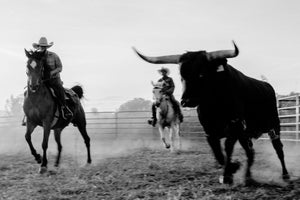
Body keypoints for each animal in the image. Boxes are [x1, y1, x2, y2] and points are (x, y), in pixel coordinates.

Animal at [132, 41, 290, 184]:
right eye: (182, 75)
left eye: (201, 74)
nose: (186, 101)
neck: (214, 103)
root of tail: (268, 86)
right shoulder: (209, 132)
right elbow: (218, 153)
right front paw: (232, 167)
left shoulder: (234, 126)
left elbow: (227, 148)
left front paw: (228, 174)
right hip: (246, 135)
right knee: (250, 152)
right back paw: (248, 177)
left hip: (274, 127)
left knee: (279, 149)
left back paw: (285, 175)